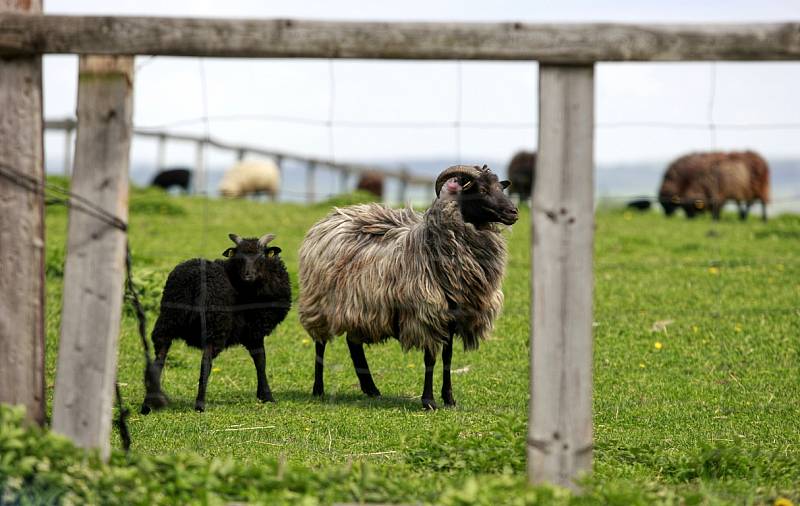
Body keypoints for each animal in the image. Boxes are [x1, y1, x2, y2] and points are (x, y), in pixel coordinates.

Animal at [140, 231, 290, 414]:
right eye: (239, 258)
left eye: (261, 258)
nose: (247, 276)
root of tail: (193, 283)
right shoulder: (254, 330)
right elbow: (261, 360)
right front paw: (267, 396)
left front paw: (263, 395)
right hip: (214, 325)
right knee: (206, 363)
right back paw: (200, 405)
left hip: (167, 321)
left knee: (158, 360)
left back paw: (147, 405)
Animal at [296, 166, 520, 412]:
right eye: (481, 189)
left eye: (500, 187)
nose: (514, 212)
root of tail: (331, 217)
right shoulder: (427, 314)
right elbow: (430, 358)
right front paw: (428, 401)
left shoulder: (452, 317)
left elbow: (448, 358)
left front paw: (449, 399)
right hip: (319, 302)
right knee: (320, 344)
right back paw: (319, 389)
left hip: (359, 305)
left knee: (353, 342)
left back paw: (371, 389)